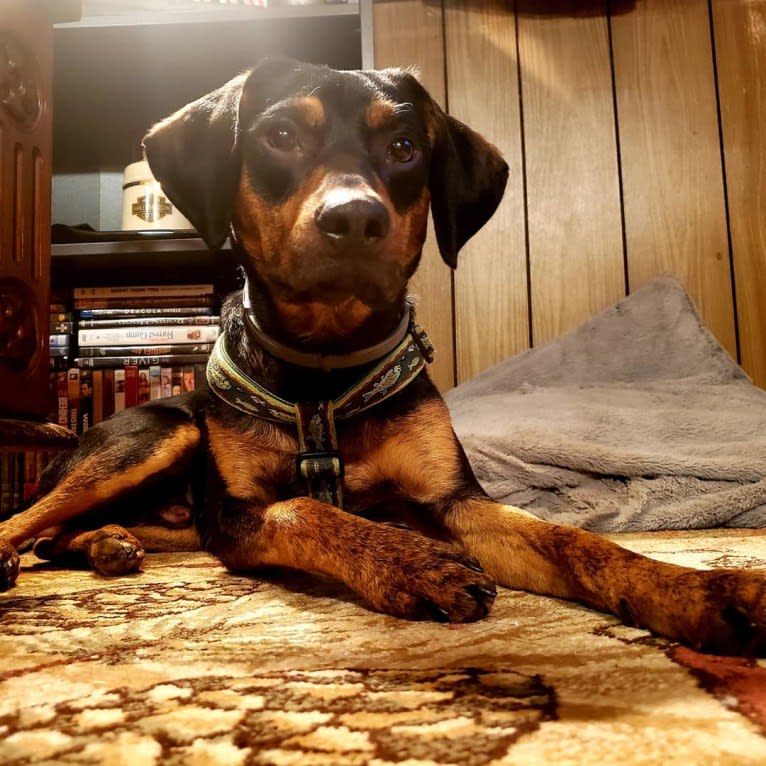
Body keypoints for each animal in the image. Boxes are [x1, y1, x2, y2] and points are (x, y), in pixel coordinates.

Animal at [1, 60, 766, 656]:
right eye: (281, 136)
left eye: (403, 146)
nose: (354, 218)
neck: (325, 366)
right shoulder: (237, 513)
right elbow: (306, 512)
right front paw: (414, 564)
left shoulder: (453, 499)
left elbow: (574, 542)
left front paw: (703, 591)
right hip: (161, 434)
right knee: (27, 521)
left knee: (58, 534)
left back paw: (106, 544)